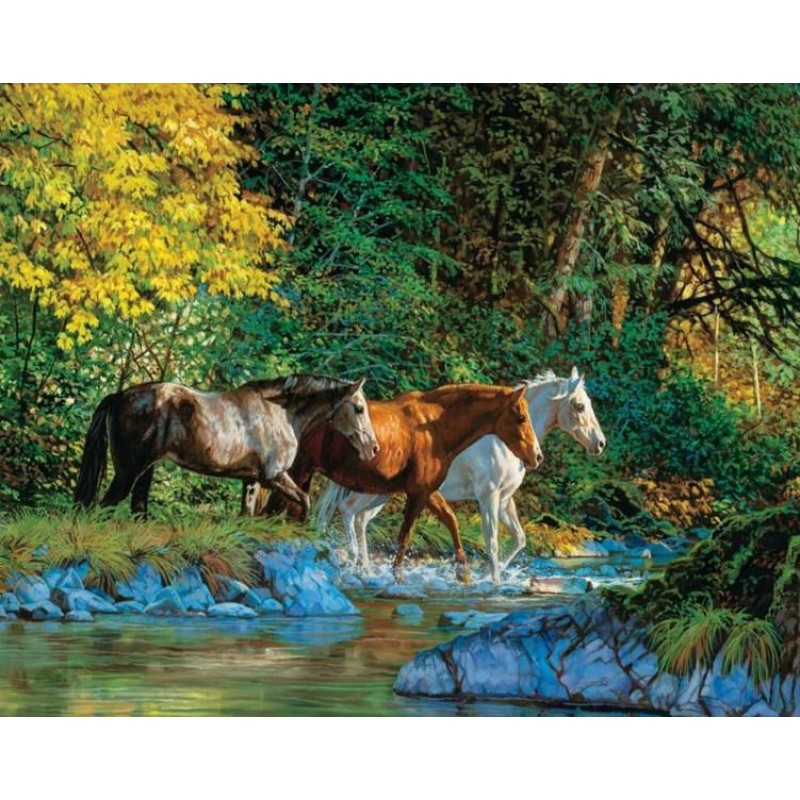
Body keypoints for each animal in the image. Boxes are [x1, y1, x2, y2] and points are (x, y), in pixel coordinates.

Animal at [73, 374, 379, 517]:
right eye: (359, 408)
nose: (373, 448)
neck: (281, 413)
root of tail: (119, 396)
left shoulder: (251, 482)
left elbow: (246, 517)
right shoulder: (274, 477)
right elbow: (304, 501)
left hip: (145, 470)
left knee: (137, 509)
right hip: (128, 472)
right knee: (100, 508)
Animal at [250, 383, 543, 583]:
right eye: (520, 417)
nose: (536, 456)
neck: (434, 427)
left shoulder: (428, 492)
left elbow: (451, 522)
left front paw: (465, 576)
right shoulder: (427, 494)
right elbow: (406, 537)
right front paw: (398, 578)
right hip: (302, 474)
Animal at [317, 368, 606, 582]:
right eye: (579, 406)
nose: (600, 444)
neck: (499, 441)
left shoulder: (504, 500)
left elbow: (519, 539)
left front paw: (494, 574)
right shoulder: (488, 497)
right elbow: (492, 541)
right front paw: (493, 582)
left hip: (383, 493)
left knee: (360, 519)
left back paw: (364, 569)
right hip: (375, 491)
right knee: (348, 510)